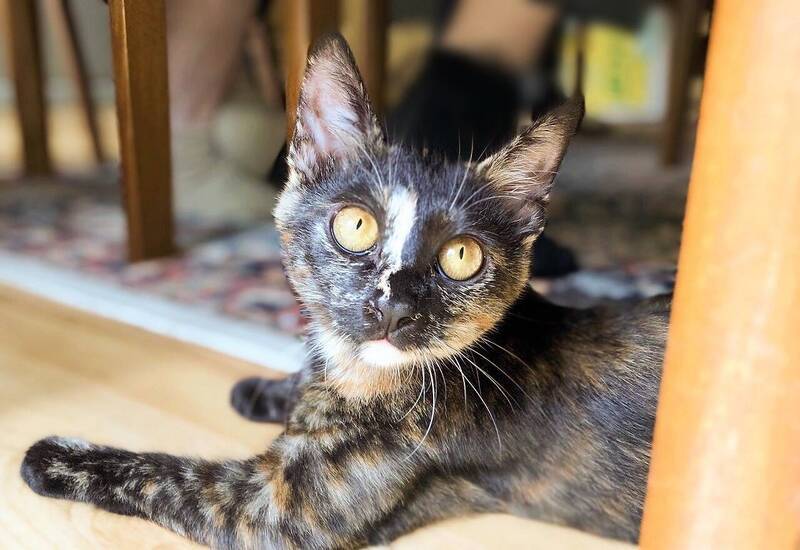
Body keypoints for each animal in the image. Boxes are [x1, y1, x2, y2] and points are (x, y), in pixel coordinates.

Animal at [21, 33, 668, 549]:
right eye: (355, 225)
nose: (393, 306)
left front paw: (52, 457)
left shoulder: (270, 508)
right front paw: (264, 390)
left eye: (461, 257)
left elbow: (163, 474)